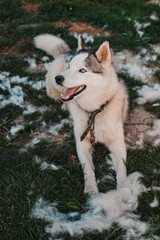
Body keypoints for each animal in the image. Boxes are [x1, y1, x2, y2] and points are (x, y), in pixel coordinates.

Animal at [34, 33, 128, 194]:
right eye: (69, 67)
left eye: (82, 70)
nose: (59, 78)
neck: (94, 111)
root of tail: (68, 52)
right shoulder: (82, 143)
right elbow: (88, 169)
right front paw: (91, 190)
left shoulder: (118, 145)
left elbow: (122, 169)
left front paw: (123, 191)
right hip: (52, 88)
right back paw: (65, 105)